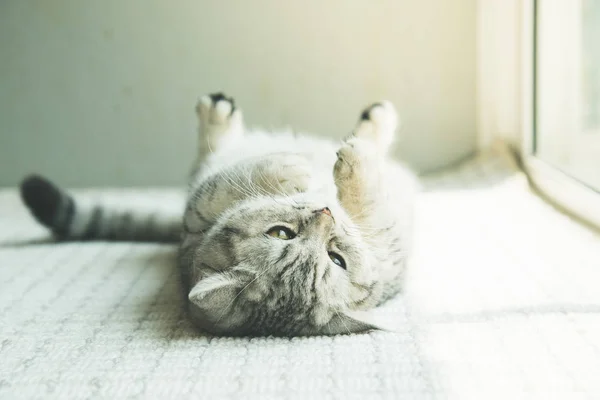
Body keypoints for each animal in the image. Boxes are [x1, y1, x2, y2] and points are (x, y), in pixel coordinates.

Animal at [19, 92, 418, 336]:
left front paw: (345, 163)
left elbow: (369, 202)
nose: (325, 212)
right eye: (281, 233)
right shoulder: (197, 212)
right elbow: (227, 182)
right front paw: (296, 170)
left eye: (337, 259)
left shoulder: (387, 243)